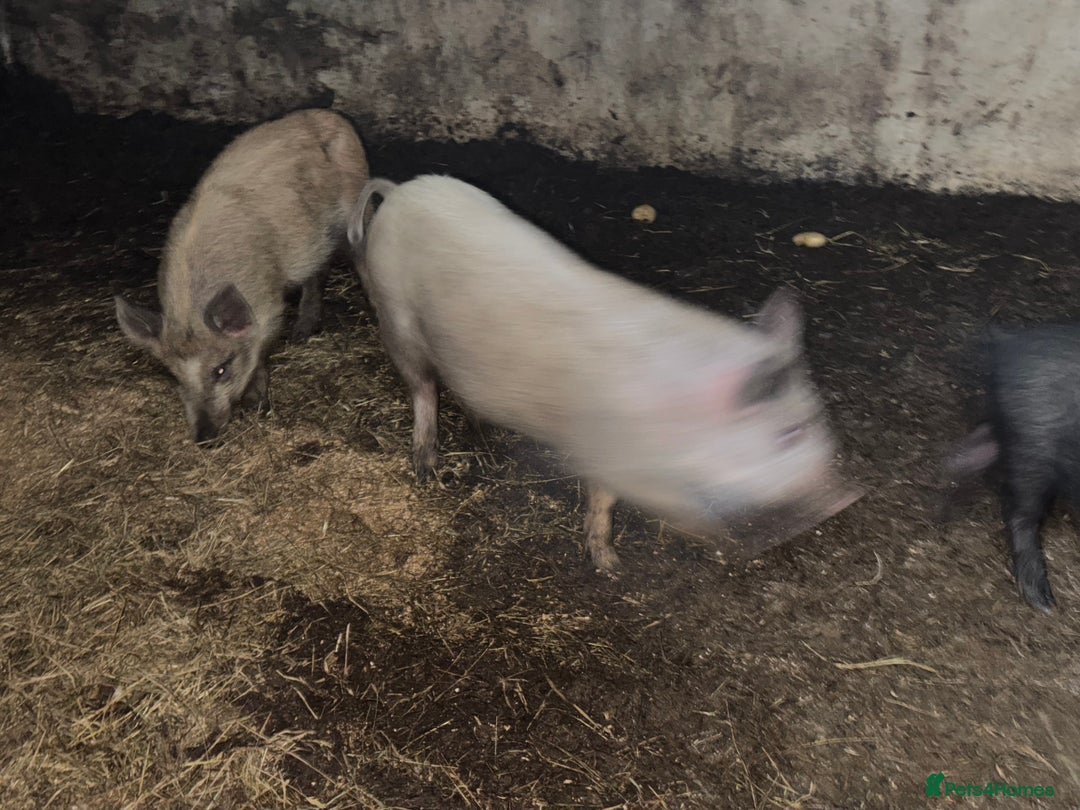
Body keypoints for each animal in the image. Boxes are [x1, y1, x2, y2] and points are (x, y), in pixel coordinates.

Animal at [115, 108, 369, 443]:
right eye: (174, 376)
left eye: (221, 370)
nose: (204, 438)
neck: (191, 309)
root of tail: (331, 115)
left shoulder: (268, 304)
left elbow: (259, 354)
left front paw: (257, 406)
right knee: (317, 272)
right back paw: (301, 335)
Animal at [348, 175, 859, 570]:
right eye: (789, 434)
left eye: (818, 419)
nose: (846, 497)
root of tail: (400, 191)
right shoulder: (619, 455)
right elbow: (648, 505)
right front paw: (626, 561)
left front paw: (609, 560)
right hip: (395, 316)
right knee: (422, 387)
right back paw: (425, 466)